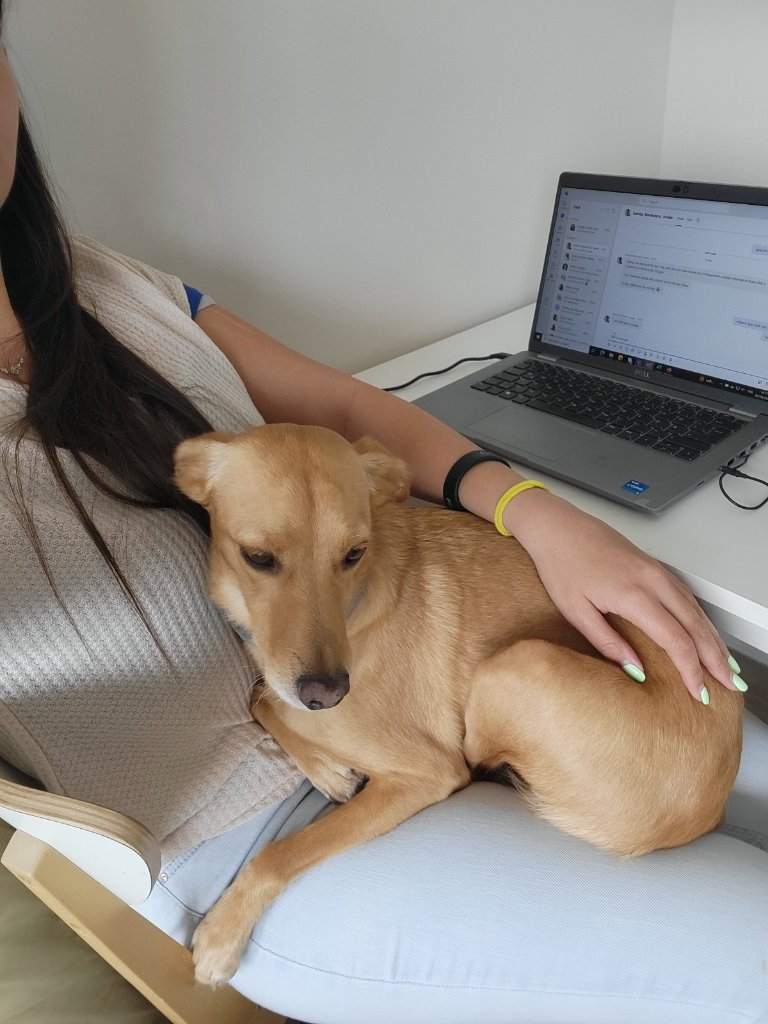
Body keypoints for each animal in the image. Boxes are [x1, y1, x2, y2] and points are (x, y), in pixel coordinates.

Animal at [173, 422, 743, 986]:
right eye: (257, 557)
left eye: (354, 553)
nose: (329, 692)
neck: (357, 608)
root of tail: (712, 811)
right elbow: (261, 696)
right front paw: (326, 766)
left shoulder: (426, 772)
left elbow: (281, 850)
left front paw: (222, 931)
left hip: (514, 667)